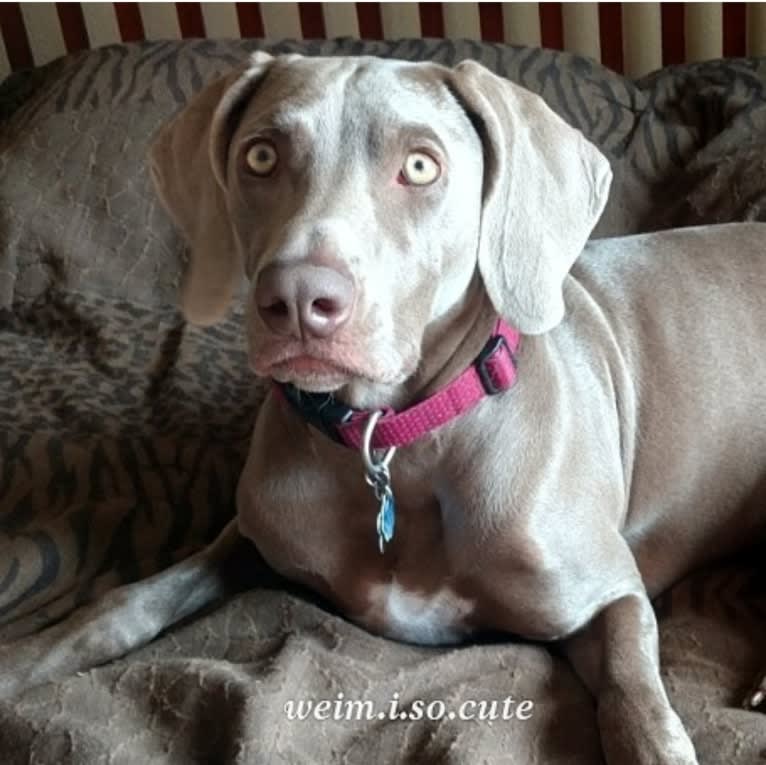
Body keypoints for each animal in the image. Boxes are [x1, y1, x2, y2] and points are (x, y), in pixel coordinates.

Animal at [1, 50, 766, 760]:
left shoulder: (606, 595)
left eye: (421, 167)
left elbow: (635, 693)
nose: (297, 298)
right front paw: (23, 660)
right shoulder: (252, 533)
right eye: (260, 155)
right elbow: (131, 598)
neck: (394, 439)